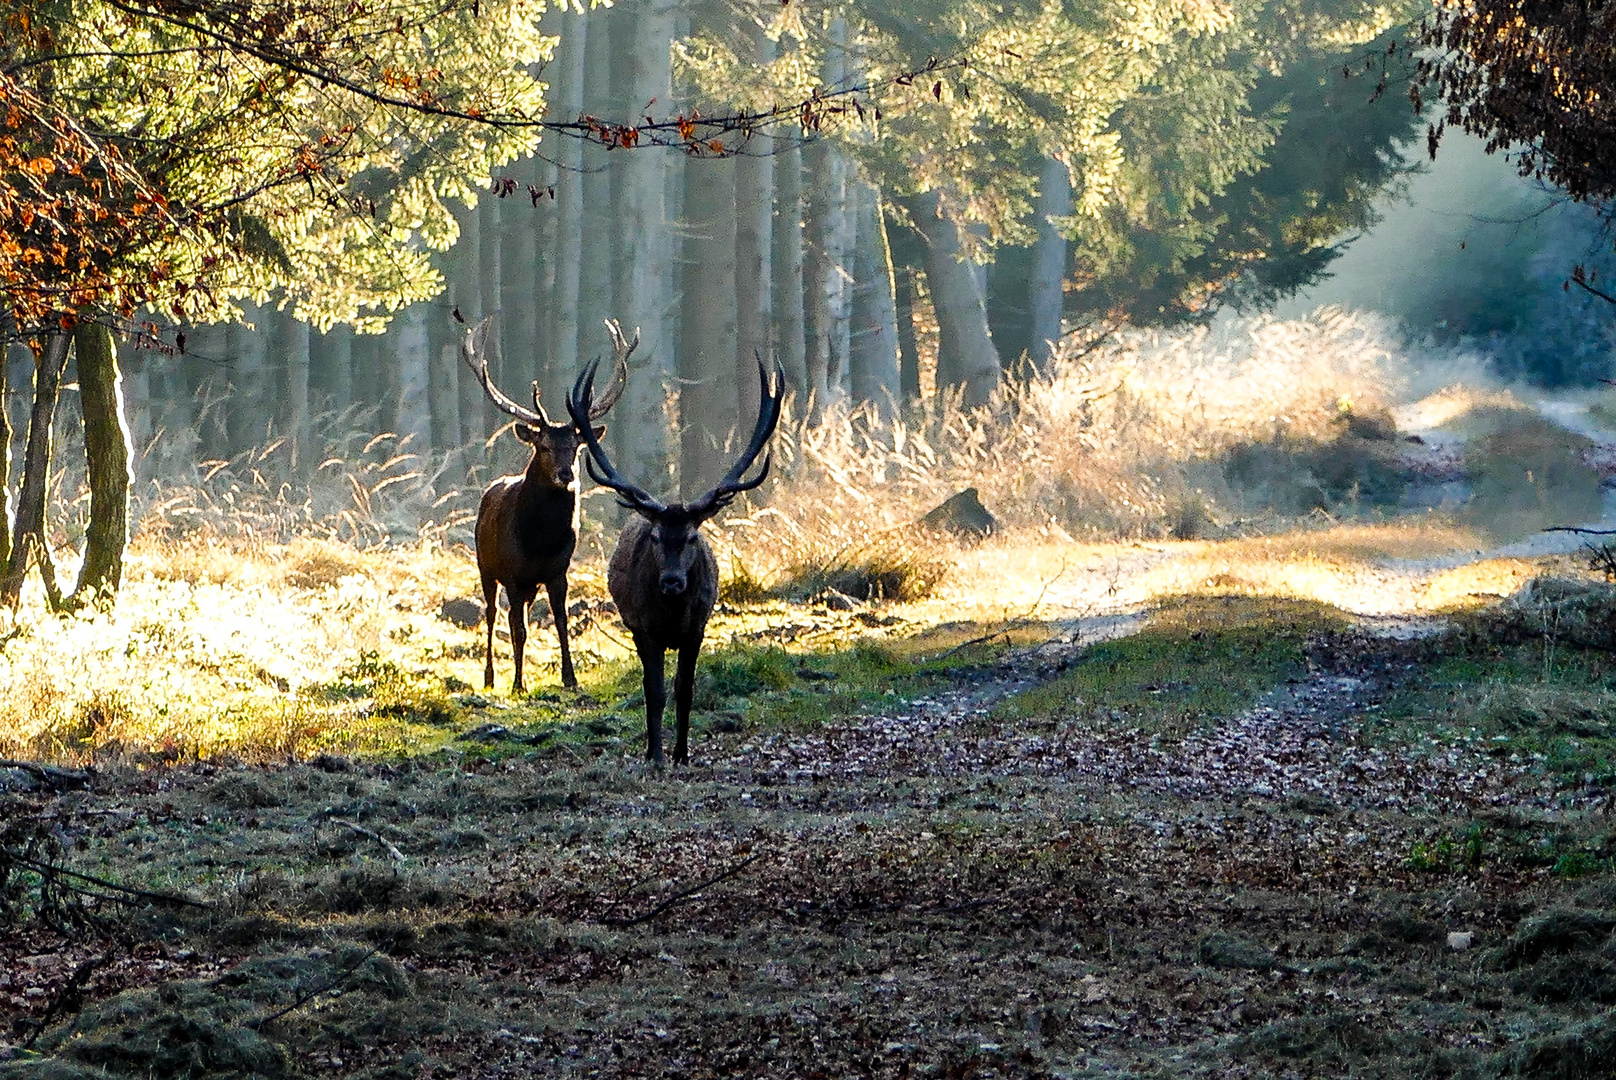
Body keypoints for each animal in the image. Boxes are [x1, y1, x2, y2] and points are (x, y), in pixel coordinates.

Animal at [462, 316, 636, 695]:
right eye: (543, 446)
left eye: (576, 446)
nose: (565, 474)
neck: (539, 541)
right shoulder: (513, 574)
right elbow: (519, 629)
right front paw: (518, 684)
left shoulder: (559, 572)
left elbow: (560, 621)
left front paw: (570, 678)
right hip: (485, 566)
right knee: (493, 615)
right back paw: (490, 677)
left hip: (528, 584)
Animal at [568, 355, 788, 766]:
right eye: (656, 537)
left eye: (692, 537)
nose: (672, 581)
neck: (671, 615)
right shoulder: (645, 629)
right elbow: (655, 692)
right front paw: (656, 754)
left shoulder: (697, 627)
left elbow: (685, 690)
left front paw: (683, 754)